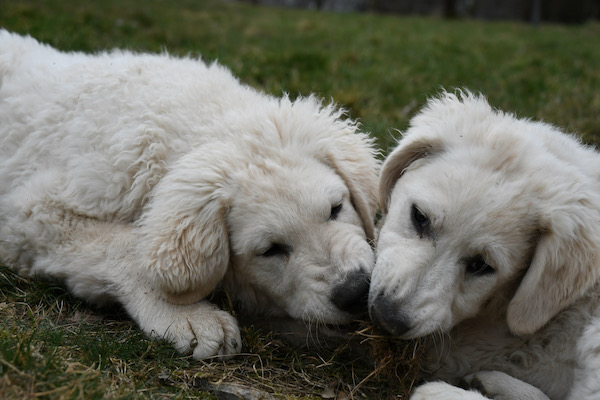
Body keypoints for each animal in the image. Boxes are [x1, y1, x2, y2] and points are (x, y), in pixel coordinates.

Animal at [0, 31, 380, 360]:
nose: (355, 291)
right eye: (270, 251)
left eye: (336, 209)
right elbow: (124, 246)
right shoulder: (31, 210)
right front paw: (189, 316)